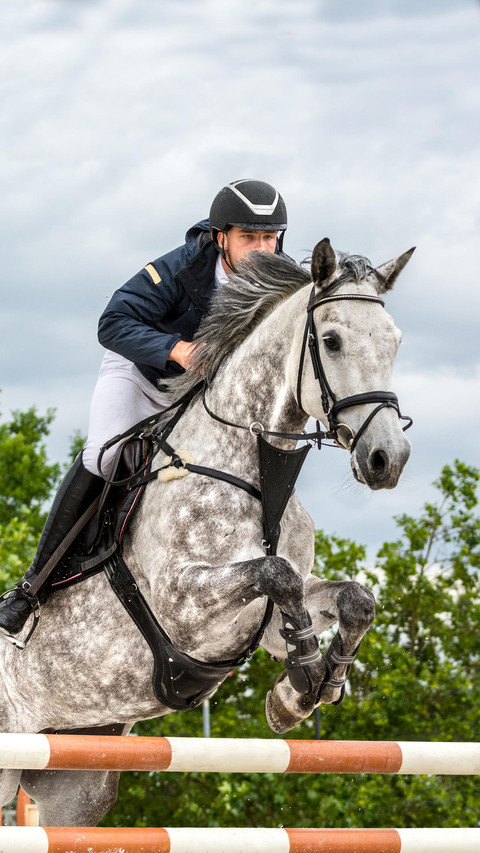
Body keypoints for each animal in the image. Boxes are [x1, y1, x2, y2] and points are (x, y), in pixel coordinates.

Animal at [0, 237, 413, 826]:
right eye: (331, 341)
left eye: (395, 342)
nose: (387, 460)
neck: (258, 470)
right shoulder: (184, 603)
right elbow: (277, 572)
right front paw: (301, 683)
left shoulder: (265, 623)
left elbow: (354, 599)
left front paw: (308, 690)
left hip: (76, 780)